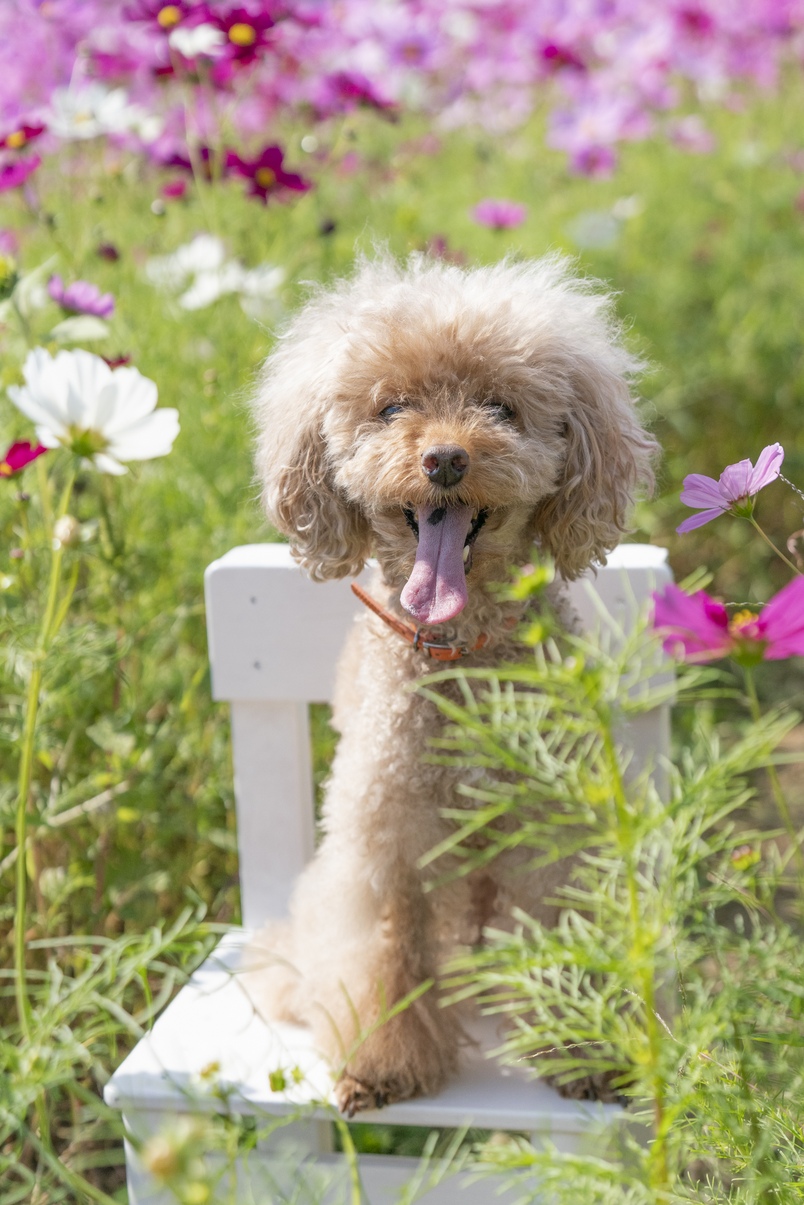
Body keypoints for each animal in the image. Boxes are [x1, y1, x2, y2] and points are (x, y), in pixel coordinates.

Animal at [249, 252, 656, 1115]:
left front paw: (582, 1050)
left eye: (500, 407)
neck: (461, 657)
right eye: (392, 407)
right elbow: (383, 956)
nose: (444, 458)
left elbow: (563, 932)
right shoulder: (383, 842)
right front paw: (382, 1066)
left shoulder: (552, 837)